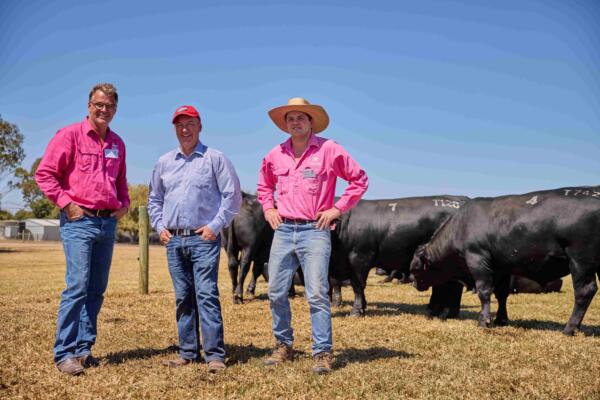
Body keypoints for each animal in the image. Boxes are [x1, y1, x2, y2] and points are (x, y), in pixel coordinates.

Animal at [328, 196, 468, 316]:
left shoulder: (359, 257)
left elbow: (357, 285)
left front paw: (356, 311)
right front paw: (362, 305)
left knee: (453, 286)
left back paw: (447, 313)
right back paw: (436, 310)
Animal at [410, 188, 600, 334]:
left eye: (415, 268)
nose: (413, 282)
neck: (460, 226)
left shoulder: (477, 260)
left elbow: (484, 291)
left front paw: (484, 320)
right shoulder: (502, 268)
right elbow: (501, 294)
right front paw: (501, 319)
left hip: (580, 260)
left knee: (584, 291)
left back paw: (570, 328)